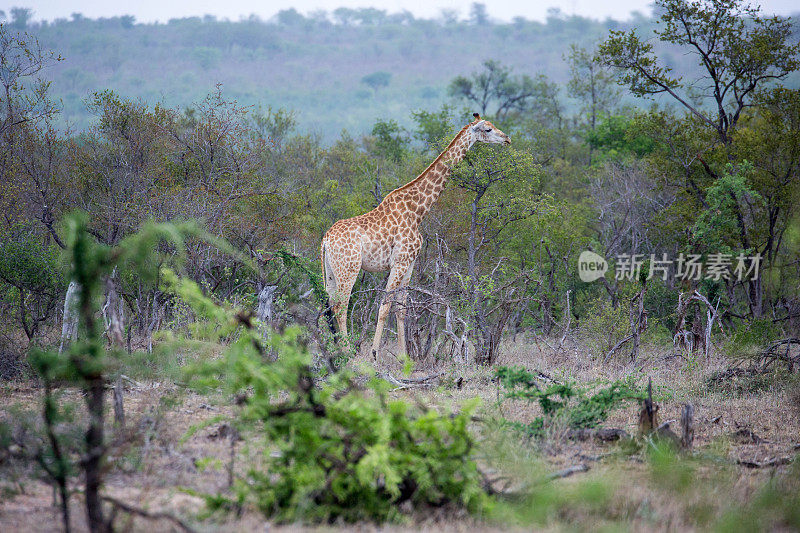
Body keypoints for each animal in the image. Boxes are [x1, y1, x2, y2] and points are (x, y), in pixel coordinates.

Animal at [322, 111, 510, 362]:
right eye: (488, 129)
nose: (507, 138)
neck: (418, 211)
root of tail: (325, 240)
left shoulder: (410, 263)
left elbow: (401, 309)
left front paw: (404, 358)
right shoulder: (399, 261)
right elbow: (385, 306)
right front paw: (374, 354)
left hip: (331, 271)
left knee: (330, 305)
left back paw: (334, 351)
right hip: (349, 268)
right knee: (341, 306)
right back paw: (347, 353)